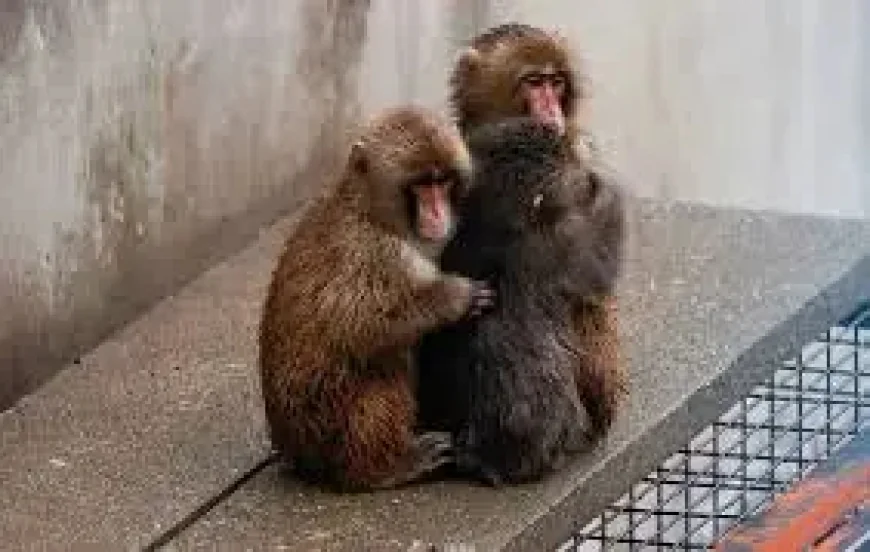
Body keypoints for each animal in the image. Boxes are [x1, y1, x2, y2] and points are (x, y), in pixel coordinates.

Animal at [258, 105, 495, 492]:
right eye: (421, 185)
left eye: (443, 181)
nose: (437, 214)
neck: (372, 213)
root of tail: (296, 454)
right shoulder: (371, 254)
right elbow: (358, 326)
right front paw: (454, 298)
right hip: (330, 428)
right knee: (383, 366)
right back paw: (382, 468)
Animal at [416, 117, 625, 485]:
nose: (563, 134)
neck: (500, 227)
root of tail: (475, 452)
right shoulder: (566, 243)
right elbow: (601, 264)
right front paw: (604, 188)